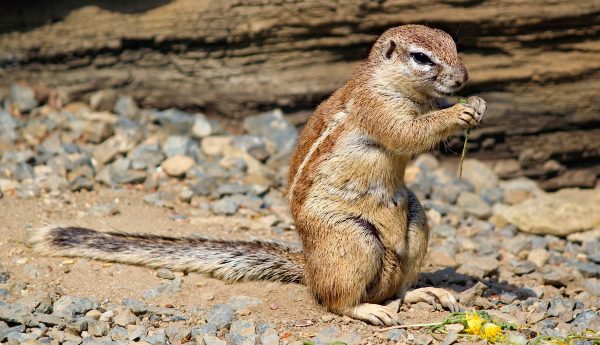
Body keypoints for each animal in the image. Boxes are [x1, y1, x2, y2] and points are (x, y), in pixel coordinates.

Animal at [29, 24, 488, 326]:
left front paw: (476, 105)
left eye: (455, 46)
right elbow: (408, 133)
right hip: (351, 238)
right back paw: (369, 309)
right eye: (421, 58)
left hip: (415, 219)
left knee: (400, 284)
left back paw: (425, 292)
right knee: (335, 300)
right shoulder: (377, 109)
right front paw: (459, 112)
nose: (465, 78)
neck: (391, 84)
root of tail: (309, 268)